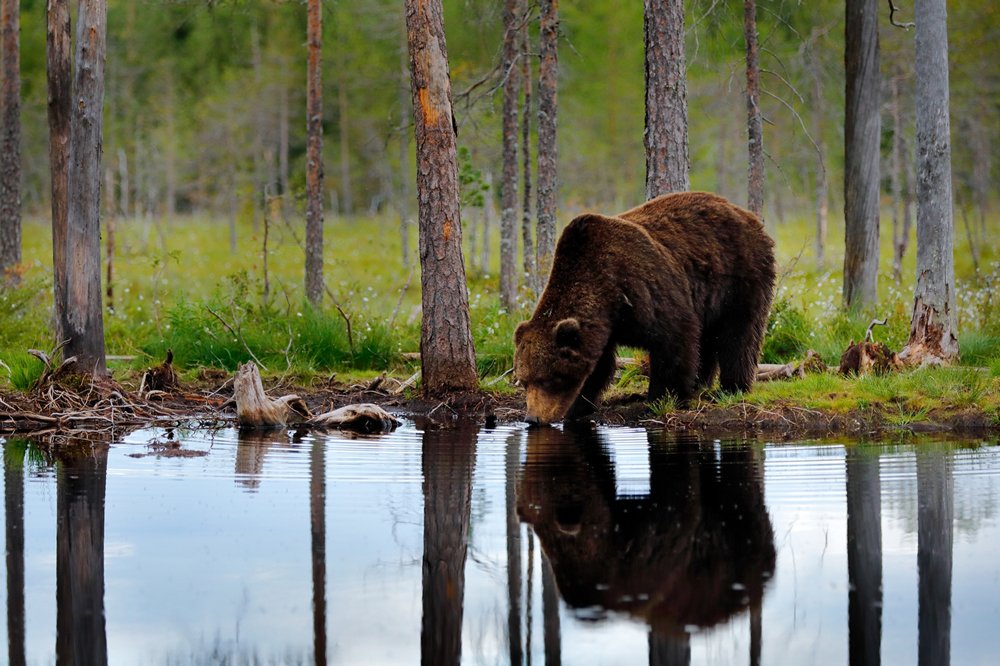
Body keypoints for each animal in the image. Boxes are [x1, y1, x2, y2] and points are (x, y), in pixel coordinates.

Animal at [512, 189, 776, 422]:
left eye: (547, 379)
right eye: (524, 380)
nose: (532, 418)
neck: (606, 294)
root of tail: (749, 216)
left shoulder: (641, 289)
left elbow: (674, 338)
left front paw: (662, 399)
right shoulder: (603, 328)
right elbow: (598, 367)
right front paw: (577, 407)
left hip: (740, 274)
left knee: (740, 333)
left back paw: (732, 388)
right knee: (708, 336)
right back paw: (700, 382)